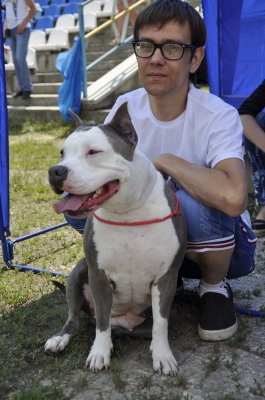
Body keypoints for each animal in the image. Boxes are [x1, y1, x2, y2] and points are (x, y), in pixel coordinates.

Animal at [44, 101, 186, 376]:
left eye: (93, 152)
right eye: (62, 153)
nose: (56, 171)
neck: (127, 212)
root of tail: (125, 324)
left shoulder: (167, 278)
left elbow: (160, 324)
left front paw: (163, 355)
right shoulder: (98, 275)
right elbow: (102, 320)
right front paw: (99, 353)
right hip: (78, 272)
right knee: (77, 319)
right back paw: (61, 338)